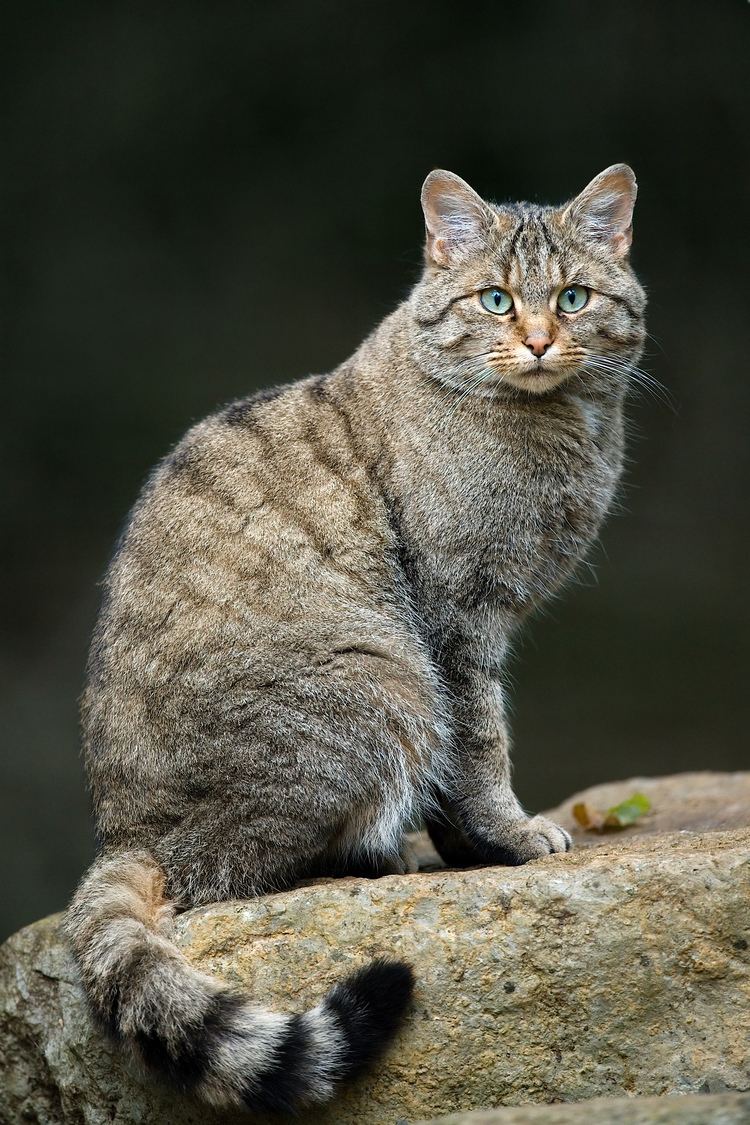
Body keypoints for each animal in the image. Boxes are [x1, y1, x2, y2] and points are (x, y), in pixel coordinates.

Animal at [67, 163, 647, 1111]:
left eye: (573, 296)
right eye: (494, 299)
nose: (535, 341)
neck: (558, 429)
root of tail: (126, 837)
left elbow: (461, 771)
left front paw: (471, 847)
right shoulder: (455, 620)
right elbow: (479, 746)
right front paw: (510, 835)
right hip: (383, 680)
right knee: (233, 874)